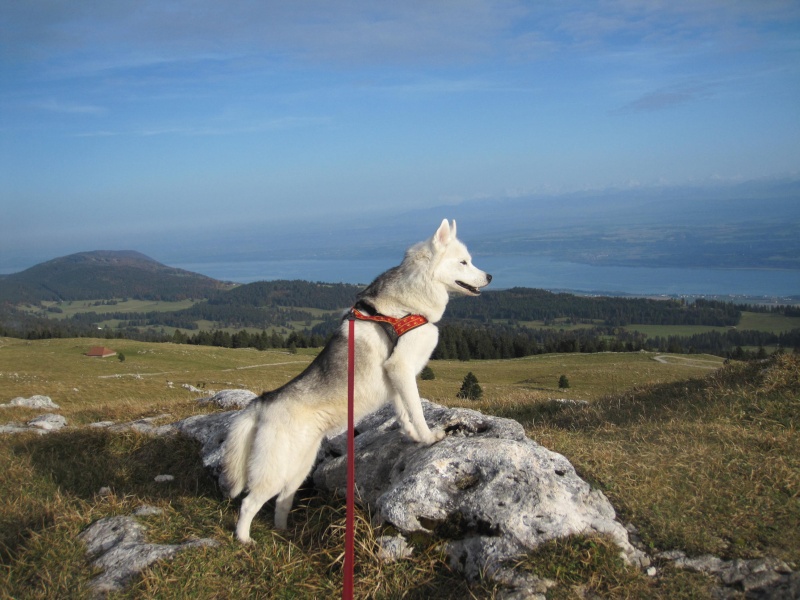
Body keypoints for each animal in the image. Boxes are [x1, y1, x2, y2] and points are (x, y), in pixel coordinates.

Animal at [222, 220, 490, 544]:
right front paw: (428, 438)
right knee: (249, 502)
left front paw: (413, 436)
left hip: (299, 467)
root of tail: (264, 400)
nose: (489, 276)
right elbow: (416, 410)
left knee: (283, 500)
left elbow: (404, 414)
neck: (409, 302)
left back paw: (284, 531)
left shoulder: (396, 379)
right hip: (274, 469)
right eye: (463, 262)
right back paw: (244, 539)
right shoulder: (401, 369)